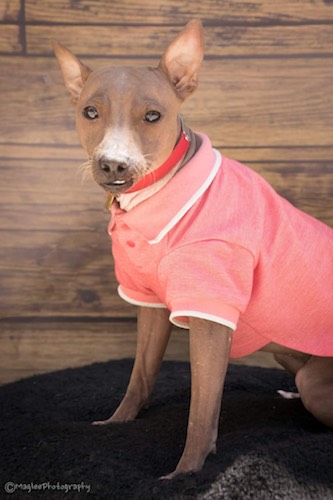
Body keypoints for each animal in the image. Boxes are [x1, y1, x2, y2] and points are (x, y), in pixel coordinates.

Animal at [53, 20, 330, 480]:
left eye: (153, 116)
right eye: (90, 112)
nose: (113, 164)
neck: (159, 193)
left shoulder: (210, 318)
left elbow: (201, 411)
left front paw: (184, 474)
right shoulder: (149, 306)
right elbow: (140, 376)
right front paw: (118, 422)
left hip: (314, 380)